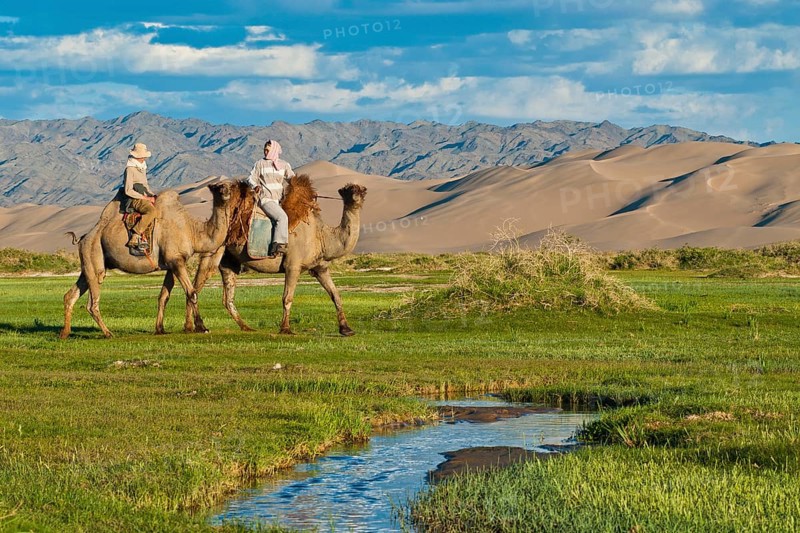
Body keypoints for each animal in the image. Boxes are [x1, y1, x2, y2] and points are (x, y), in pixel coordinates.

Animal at [59, 180, 235, 339]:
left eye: (229, 186)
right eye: (220, 187)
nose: (227, 192)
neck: (191, 231)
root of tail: (83, 237)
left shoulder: (172, 264)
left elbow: (164, 296)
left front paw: (160, 329)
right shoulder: (176, 260)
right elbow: (192, 293)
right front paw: (202, 327)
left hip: (88, 264)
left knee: (71, 295)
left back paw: (65, 333)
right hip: (94, 253)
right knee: (92, 303)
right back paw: (108, 333)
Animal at [183, 175, 367, 336]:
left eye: (361, 190)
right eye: (350, 190)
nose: (358, 195)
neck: (321, 235)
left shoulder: (320, 267)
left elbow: (336, 295)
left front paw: (346, 329)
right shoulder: (293, 265)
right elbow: (287, 298)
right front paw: (286, 329)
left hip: (228, 259)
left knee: (226, 296)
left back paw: (245, 327)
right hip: (213, 250)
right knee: (196, 287)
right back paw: (195, 327)